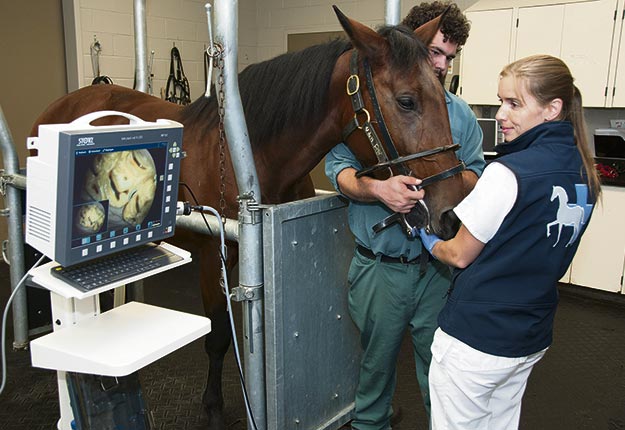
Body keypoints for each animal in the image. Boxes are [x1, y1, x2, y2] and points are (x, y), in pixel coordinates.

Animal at [29, 7, 468, 430]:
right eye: (407, 101)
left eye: (443, 92)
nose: (452, 214)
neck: (258, 157)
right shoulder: (215, 257)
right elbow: (219, 334)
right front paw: (214, 408)